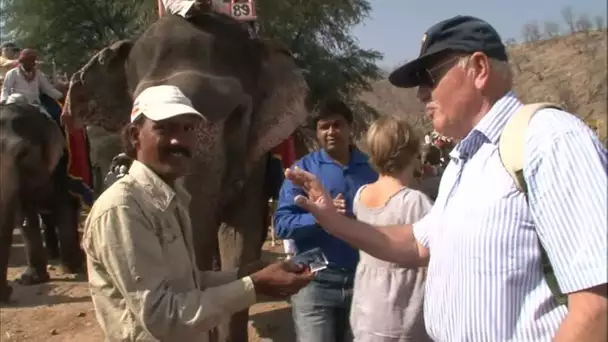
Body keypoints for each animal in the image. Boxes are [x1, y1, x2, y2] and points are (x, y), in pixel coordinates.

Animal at [0, 101, 83, 302]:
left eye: (22, 153)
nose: (8, 292)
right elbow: (25, 216)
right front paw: (30, 280)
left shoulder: (62, 164)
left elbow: (65, 206)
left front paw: (71, 269)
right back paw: (53, 255)